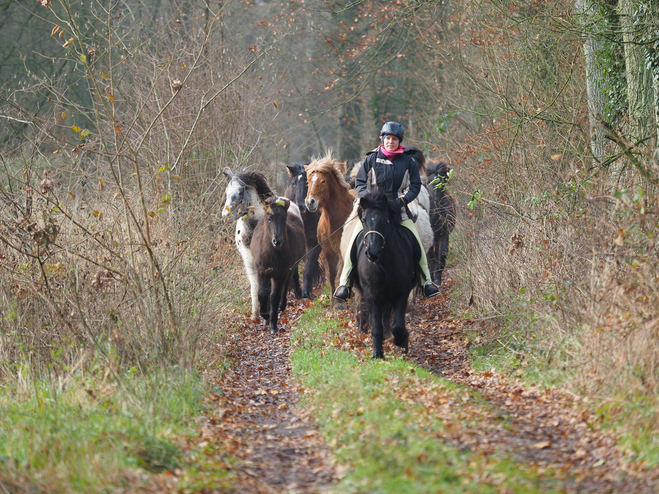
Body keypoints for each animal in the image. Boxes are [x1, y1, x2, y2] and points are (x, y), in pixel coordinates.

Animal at [251, 196, 306, 332]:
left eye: (284, 218)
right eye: (269, 218)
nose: (277, 241)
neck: (272, 254)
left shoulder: (281, 273)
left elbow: (275, 296)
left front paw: (273, 324)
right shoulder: (262, 271)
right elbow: (263, 294)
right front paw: (265, 315)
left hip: (290, 268)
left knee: (286, 284)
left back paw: (282, 305)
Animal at [284, 163, 324, 302]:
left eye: (308, 183)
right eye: (294, 183)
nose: (302, 206)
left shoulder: (315, 243)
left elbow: (308, 269)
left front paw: (306, 293)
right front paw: (298, 292)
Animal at [304, 156, 356, 300]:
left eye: (323, 181)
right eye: (308, 181)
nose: (310, 202)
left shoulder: (342, 252)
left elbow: (339, 278)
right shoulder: (329, 253)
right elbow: (332, 279)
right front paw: (333, 301)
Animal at [354, 191, 420, 356]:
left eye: (384, 220)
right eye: (363, 220)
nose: (373, 253)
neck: (383, 266)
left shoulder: (402, 293)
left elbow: (398, 325)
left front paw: (402, 341)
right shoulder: (372, 296)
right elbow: (376, 327)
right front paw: (377, 354)